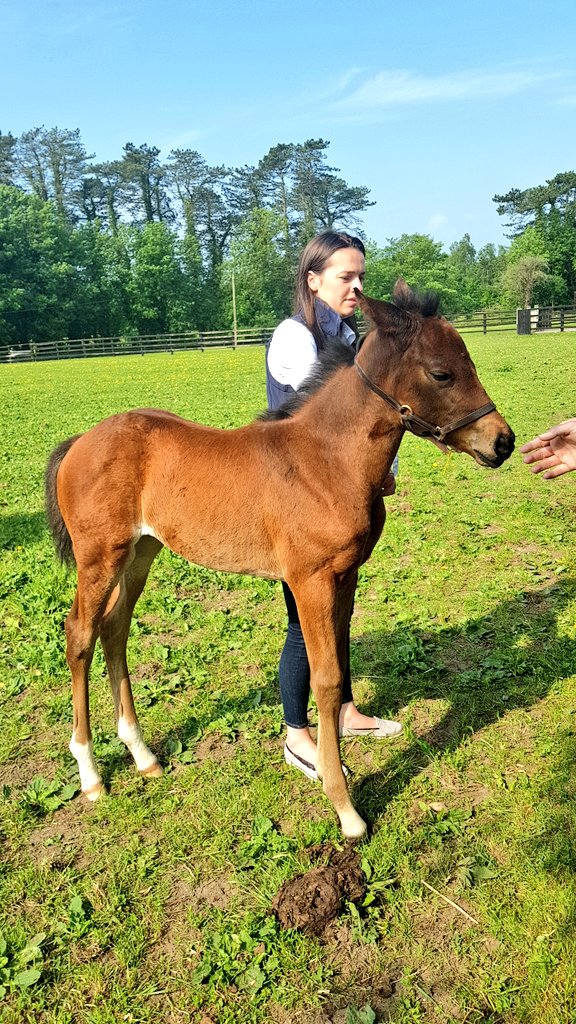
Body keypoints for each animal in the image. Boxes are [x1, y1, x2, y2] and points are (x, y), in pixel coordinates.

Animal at [44, 281, 515, 839]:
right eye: (442, 373)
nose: (503, 441)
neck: (326, 460)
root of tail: (81, 442)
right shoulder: (310, 581)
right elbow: (325, 679)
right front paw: (345, 806)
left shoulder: (346, 575)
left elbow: (340, 661)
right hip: (100, 556)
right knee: (80, 633)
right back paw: (91, 774)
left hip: (141, 552)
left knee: (114, 629)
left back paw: (143, 755)